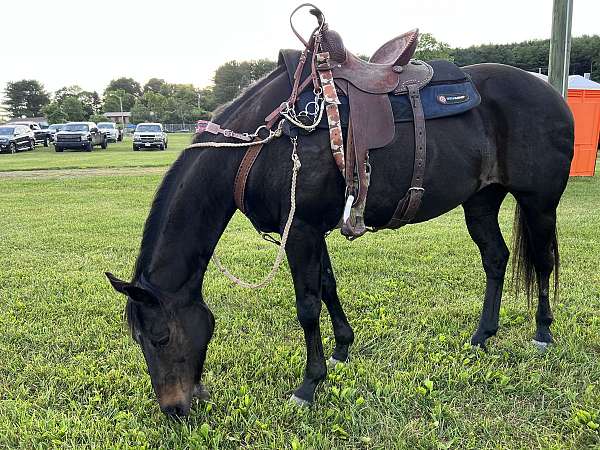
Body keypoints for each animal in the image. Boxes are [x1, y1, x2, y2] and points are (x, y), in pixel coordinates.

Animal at [105, 59, 576, 414]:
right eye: (139, 340)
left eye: (161, 337)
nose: (174, 409)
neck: (260, 146)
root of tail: (551, 94)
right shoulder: (312, 231)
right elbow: (328, 287)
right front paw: (342, 349)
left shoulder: (301, 232)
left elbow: (307, 306)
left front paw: (309, 384)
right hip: (480, 201)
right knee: (496, 258)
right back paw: (483, 336)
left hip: (539, 202)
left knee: (543, 261)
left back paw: (543, 333)